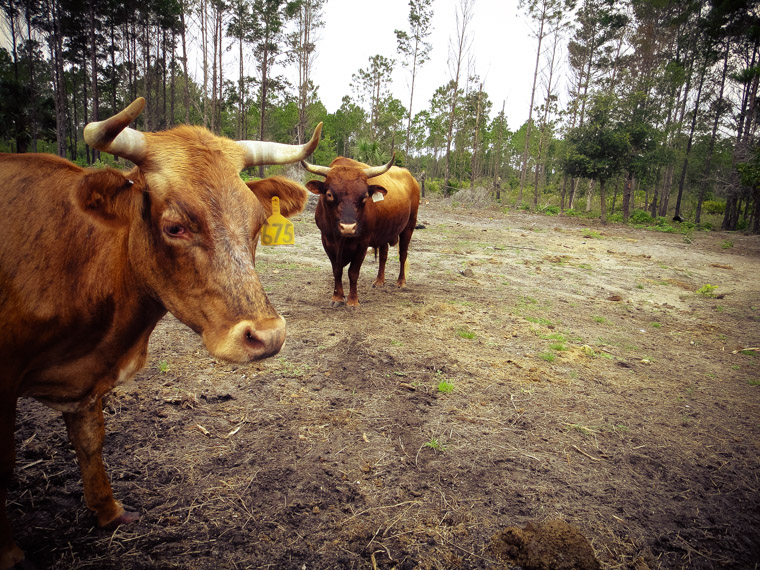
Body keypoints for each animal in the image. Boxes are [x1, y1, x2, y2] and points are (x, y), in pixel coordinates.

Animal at [0, 98, 320, 568]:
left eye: (258, 222)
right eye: (175, 226)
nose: (267, 336)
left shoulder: (89, 386)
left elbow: (90, 439)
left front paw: (108, 511)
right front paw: (9, 554)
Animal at [302, 155, 422, 306]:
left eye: (365, 196)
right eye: (329, 194)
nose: (348, 227)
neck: (341, 239)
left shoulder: (362, 244)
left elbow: (353, 272)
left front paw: (353, 301)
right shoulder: (327, 241)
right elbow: (337, 270)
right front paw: (337, 297)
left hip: (409, 226)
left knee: (403, 254)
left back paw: (401, 281)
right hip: (384, 231)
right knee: (383, 255)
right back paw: (379, 281)